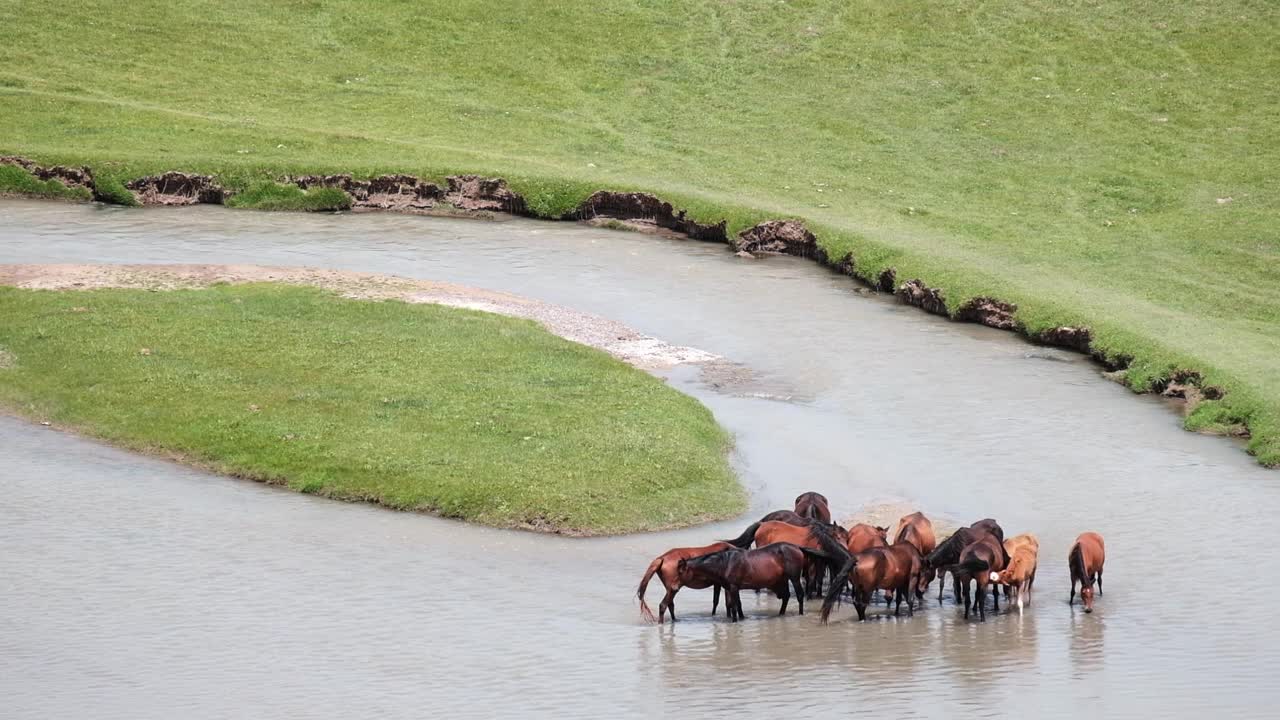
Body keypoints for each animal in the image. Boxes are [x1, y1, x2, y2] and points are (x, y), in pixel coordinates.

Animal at [675, 540, 803, 620]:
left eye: (680, 572)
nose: (674, 587)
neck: (725, 563)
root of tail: (798, 547)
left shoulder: (733, 587)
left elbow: (734, 607)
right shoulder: (733, 588)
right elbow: (737, 604)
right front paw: (741, 618)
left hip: (794, 578)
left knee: (799, 595)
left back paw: (800, 614)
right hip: (783, 579)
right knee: (786, 596)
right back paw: (781, 614)